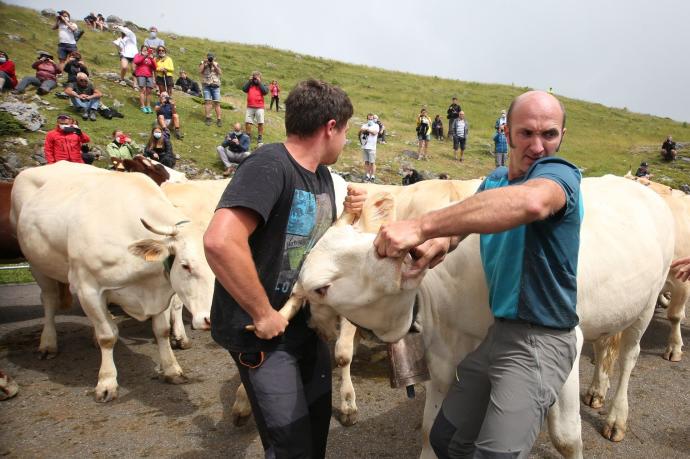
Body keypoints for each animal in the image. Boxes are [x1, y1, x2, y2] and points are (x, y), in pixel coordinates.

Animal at [10, 162, 212, 402]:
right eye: (185, 265)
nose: (210, 319)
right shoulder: (88, 288)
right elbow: (107, 336)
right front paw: (106, 383)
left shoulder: (160, 288)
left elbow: (161, 330)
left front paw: (172, 370)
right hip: (36, 262)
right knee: (49, 299)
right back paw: (48, 344)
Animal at [292, 175, 668, 456]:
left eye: (321, 289)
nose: (312, 323)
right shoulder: (444, 356)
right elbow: (431, 429)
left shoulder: (565, 341)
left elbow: (566, 438)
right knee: (606, 345)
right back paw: (596, 391)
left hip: (647, 305)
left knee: (629, 356)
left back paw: (616, 417)